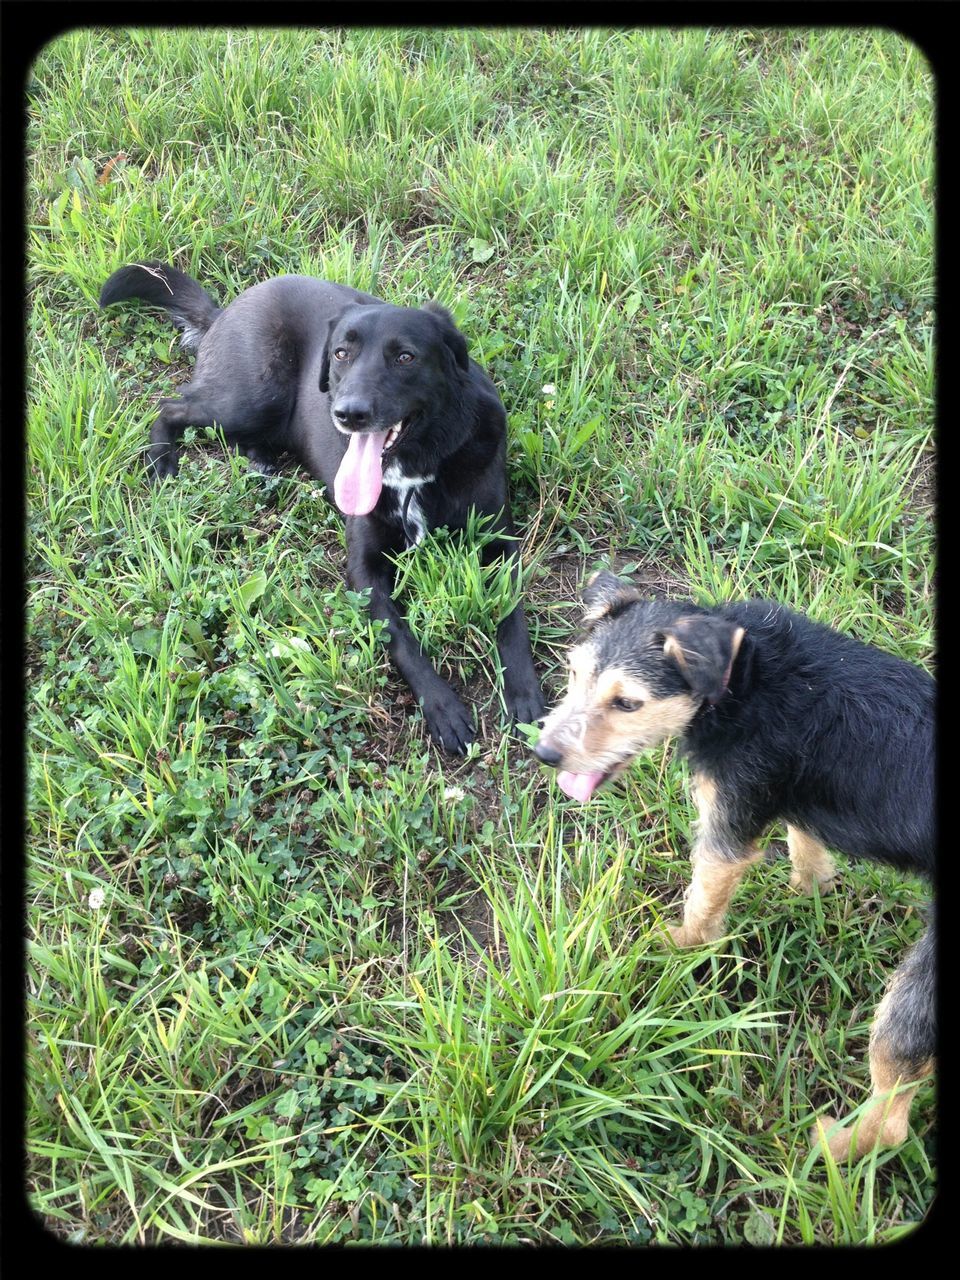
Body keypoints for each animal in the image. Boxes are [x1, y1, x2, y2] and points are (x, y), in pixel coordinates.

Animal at [101, 263, 545, 752]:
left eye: (405, 357)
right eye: (340, 354)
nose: (349, 413)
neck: (417, 464)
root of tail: (227, 309)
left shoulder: (499, 543)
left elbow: (511, 617)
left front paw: (524, 692)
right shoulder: (365, 572)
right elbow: (402, 640)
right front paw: (443, 708)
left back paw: (260, 465)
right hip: (252, 396)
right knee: (169, 406)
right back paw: (163, 462)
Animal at [537, 570, 936, 1162]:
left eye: (628, 703)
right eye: (573, 673)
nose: (542, 753)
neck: (740, 679)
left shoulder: (726, 824)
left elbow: (702, 900)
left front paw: (674, 947)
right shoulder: (780, 799)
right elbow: (806, 848)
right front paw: (808, 893)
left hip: (919, 993)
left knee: (892, 1112)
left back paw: (832, 1146)